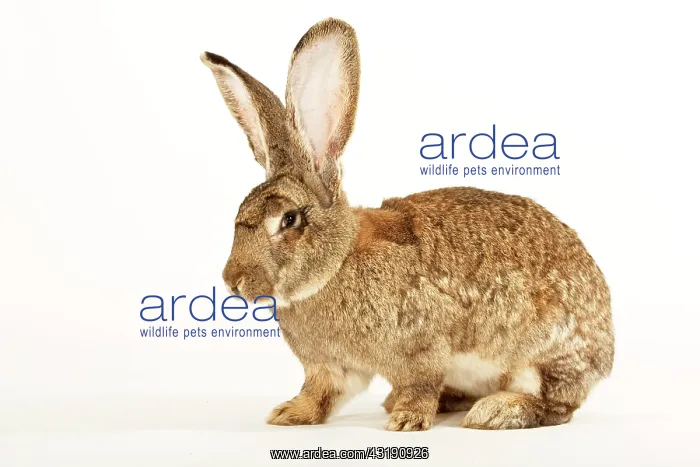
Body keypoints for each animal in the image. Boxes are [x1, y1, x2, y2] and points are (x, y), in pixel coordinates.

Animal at [200, 18, 614, 431]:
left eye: (289, 219)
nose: (233, 280)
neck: (337, 264)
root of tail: (606, 350)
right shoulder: (332, 368)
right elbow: (321, 394)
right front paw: (289, 414)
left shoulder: (421, 347)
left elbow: (420, 384)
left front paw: (406, 421)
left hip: (540, 358)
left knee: (556, 406)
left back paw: (496, 411)